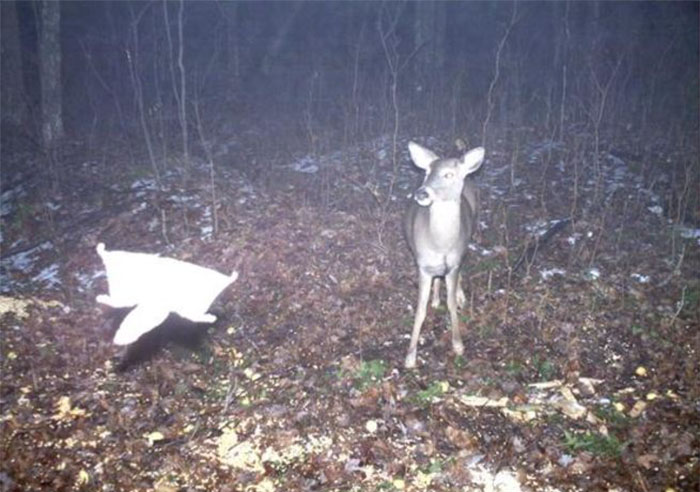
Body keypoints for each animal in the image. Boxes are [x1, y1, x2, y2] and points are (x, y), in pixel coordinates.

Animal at [403, 141, 485, 368]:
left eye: (449, 174)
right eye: (427, 172)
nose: (422, 193)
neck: (440, 245)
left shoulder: (453, 265)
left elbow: (451, 304)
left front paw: (458, 345)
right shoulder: (422, 265)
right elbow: (420, 309)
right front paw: (410, 356)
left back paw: (460, 295)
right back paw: (436, 298)